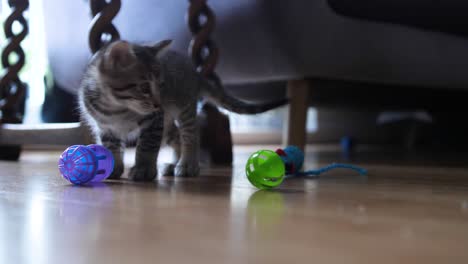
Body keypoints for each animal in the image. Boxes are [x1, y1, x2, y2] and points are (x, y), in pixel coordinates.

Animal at [78, 39, 288, 179]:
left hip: (184, 110)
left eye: (161, 85)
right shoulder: (105, 127)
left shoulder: (154, 120)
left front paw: (144, 169)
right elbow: (111, 147)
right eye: (145, 88)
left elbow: (146, 146)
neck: (115, 109)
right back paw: (173, 164)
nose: (158, 103)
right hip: (167, 125)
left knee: (191, 135)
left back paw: (187, 164)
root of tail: (196, 72)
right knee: (177, 137)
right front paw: (113, 168)